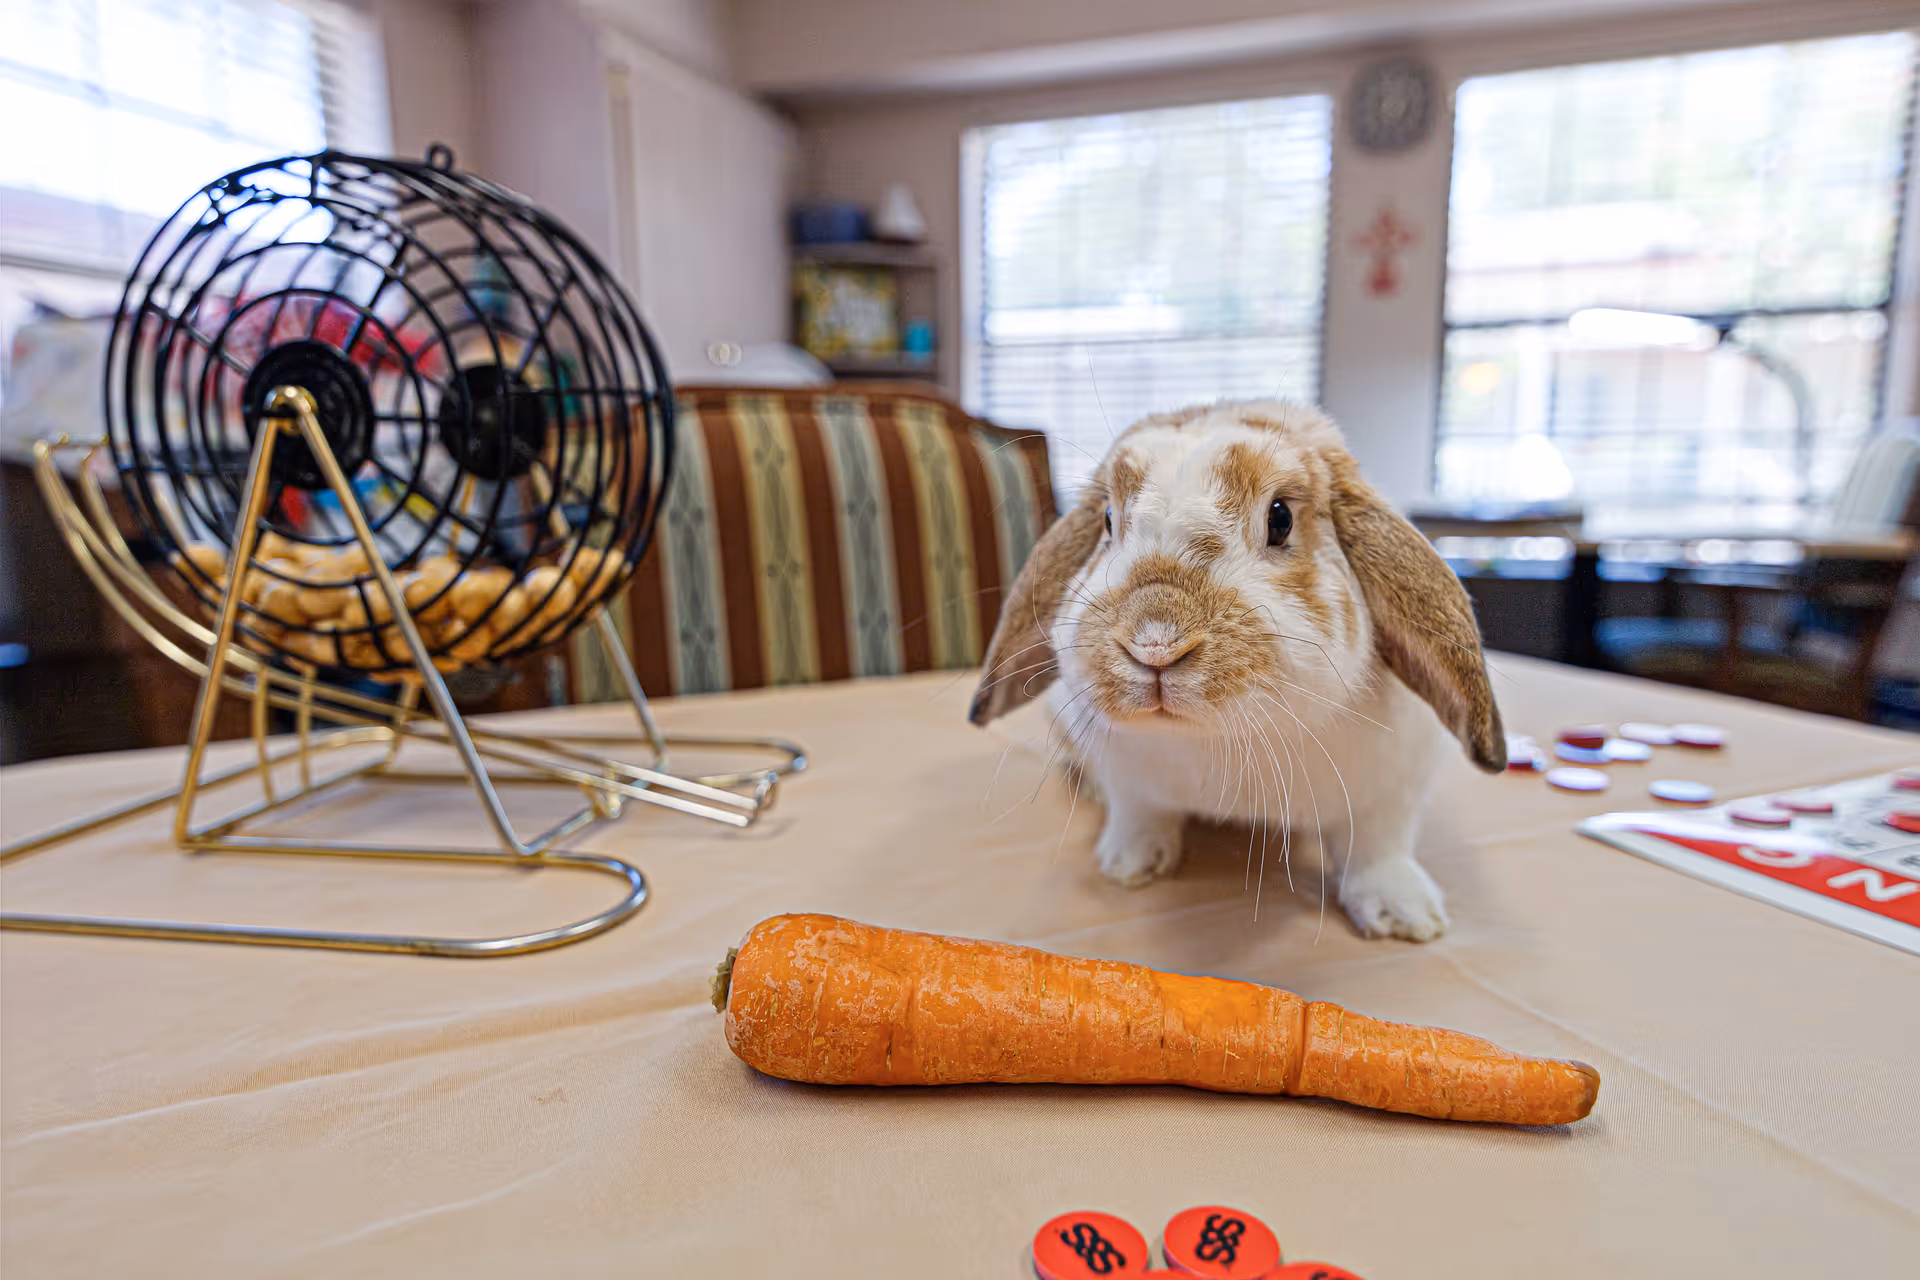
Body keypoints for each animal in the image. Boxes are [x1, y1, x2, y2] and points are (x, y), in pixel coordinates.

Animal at [969, 400, 1505, 942]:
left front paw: (1405, 917)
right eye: (1107, 519)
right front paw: (1130, 864)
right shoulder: (1130, 781)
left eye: (1280, 517)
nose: (1155, 644)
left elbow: (1379, 848)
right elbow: (1139, 813)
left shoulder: (1393, 790)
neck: (1218, 739)